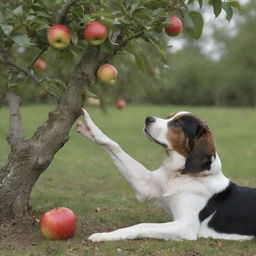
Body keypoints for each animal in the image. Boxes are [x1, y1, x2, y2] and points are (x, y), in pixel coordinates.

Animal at [76, 109, 256, 241]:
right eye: (169, 117)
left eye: (176, 123)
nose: (148, 118)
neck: (181, 175)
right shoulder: (146, 186)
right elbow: (114, 145)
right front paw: (90, 129)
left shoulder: (186, 226)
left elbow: (142, 225)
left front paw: (105, 235)